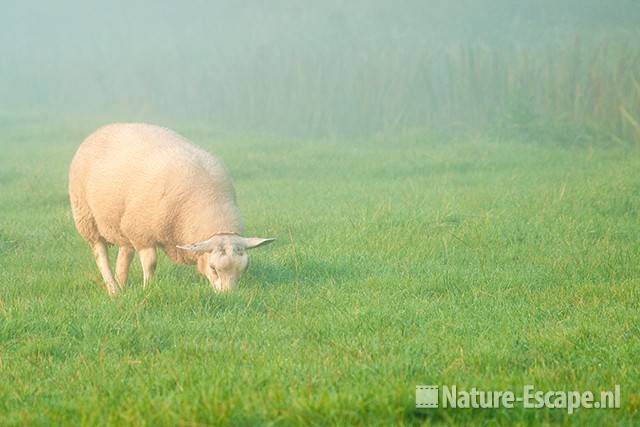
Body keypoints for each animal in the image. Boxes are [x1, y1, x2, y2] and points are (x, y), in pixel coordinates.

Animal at [69, 123, 276, 294]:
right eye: (213, 269)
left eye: (244, 269)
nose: (229, 297)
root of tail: (102, 129)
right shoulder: (142, 231)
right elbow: (151, 263)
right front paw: (148, 288)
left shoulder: (135, 228)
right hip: (86, 216)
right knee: (100, 253)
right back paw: (113, 289)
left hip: (123, 221)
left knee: (125, 252)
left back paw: (121, 284)